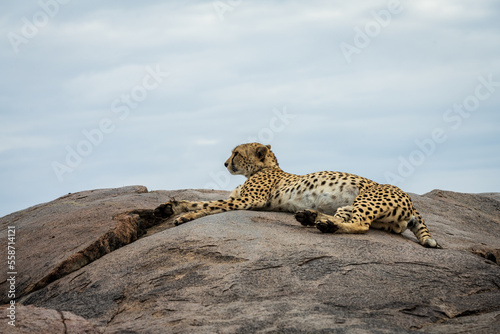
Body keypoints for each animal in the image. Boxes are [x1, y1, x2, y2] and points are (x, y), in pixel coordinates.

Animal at [154, 142, 440, 248]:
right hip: (354, 207)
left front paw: (184, 216)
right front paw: (170, 207)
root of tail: (410, 200)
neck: (267, 167)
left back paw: (321, 223)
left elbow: (211, 205)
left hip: (367, 198)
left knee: (361, 225)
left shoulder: (248, 200)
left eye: (236, 153)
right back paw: (312, 217)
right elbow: (199, 200)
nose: (225, 164)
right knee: (347, 217)